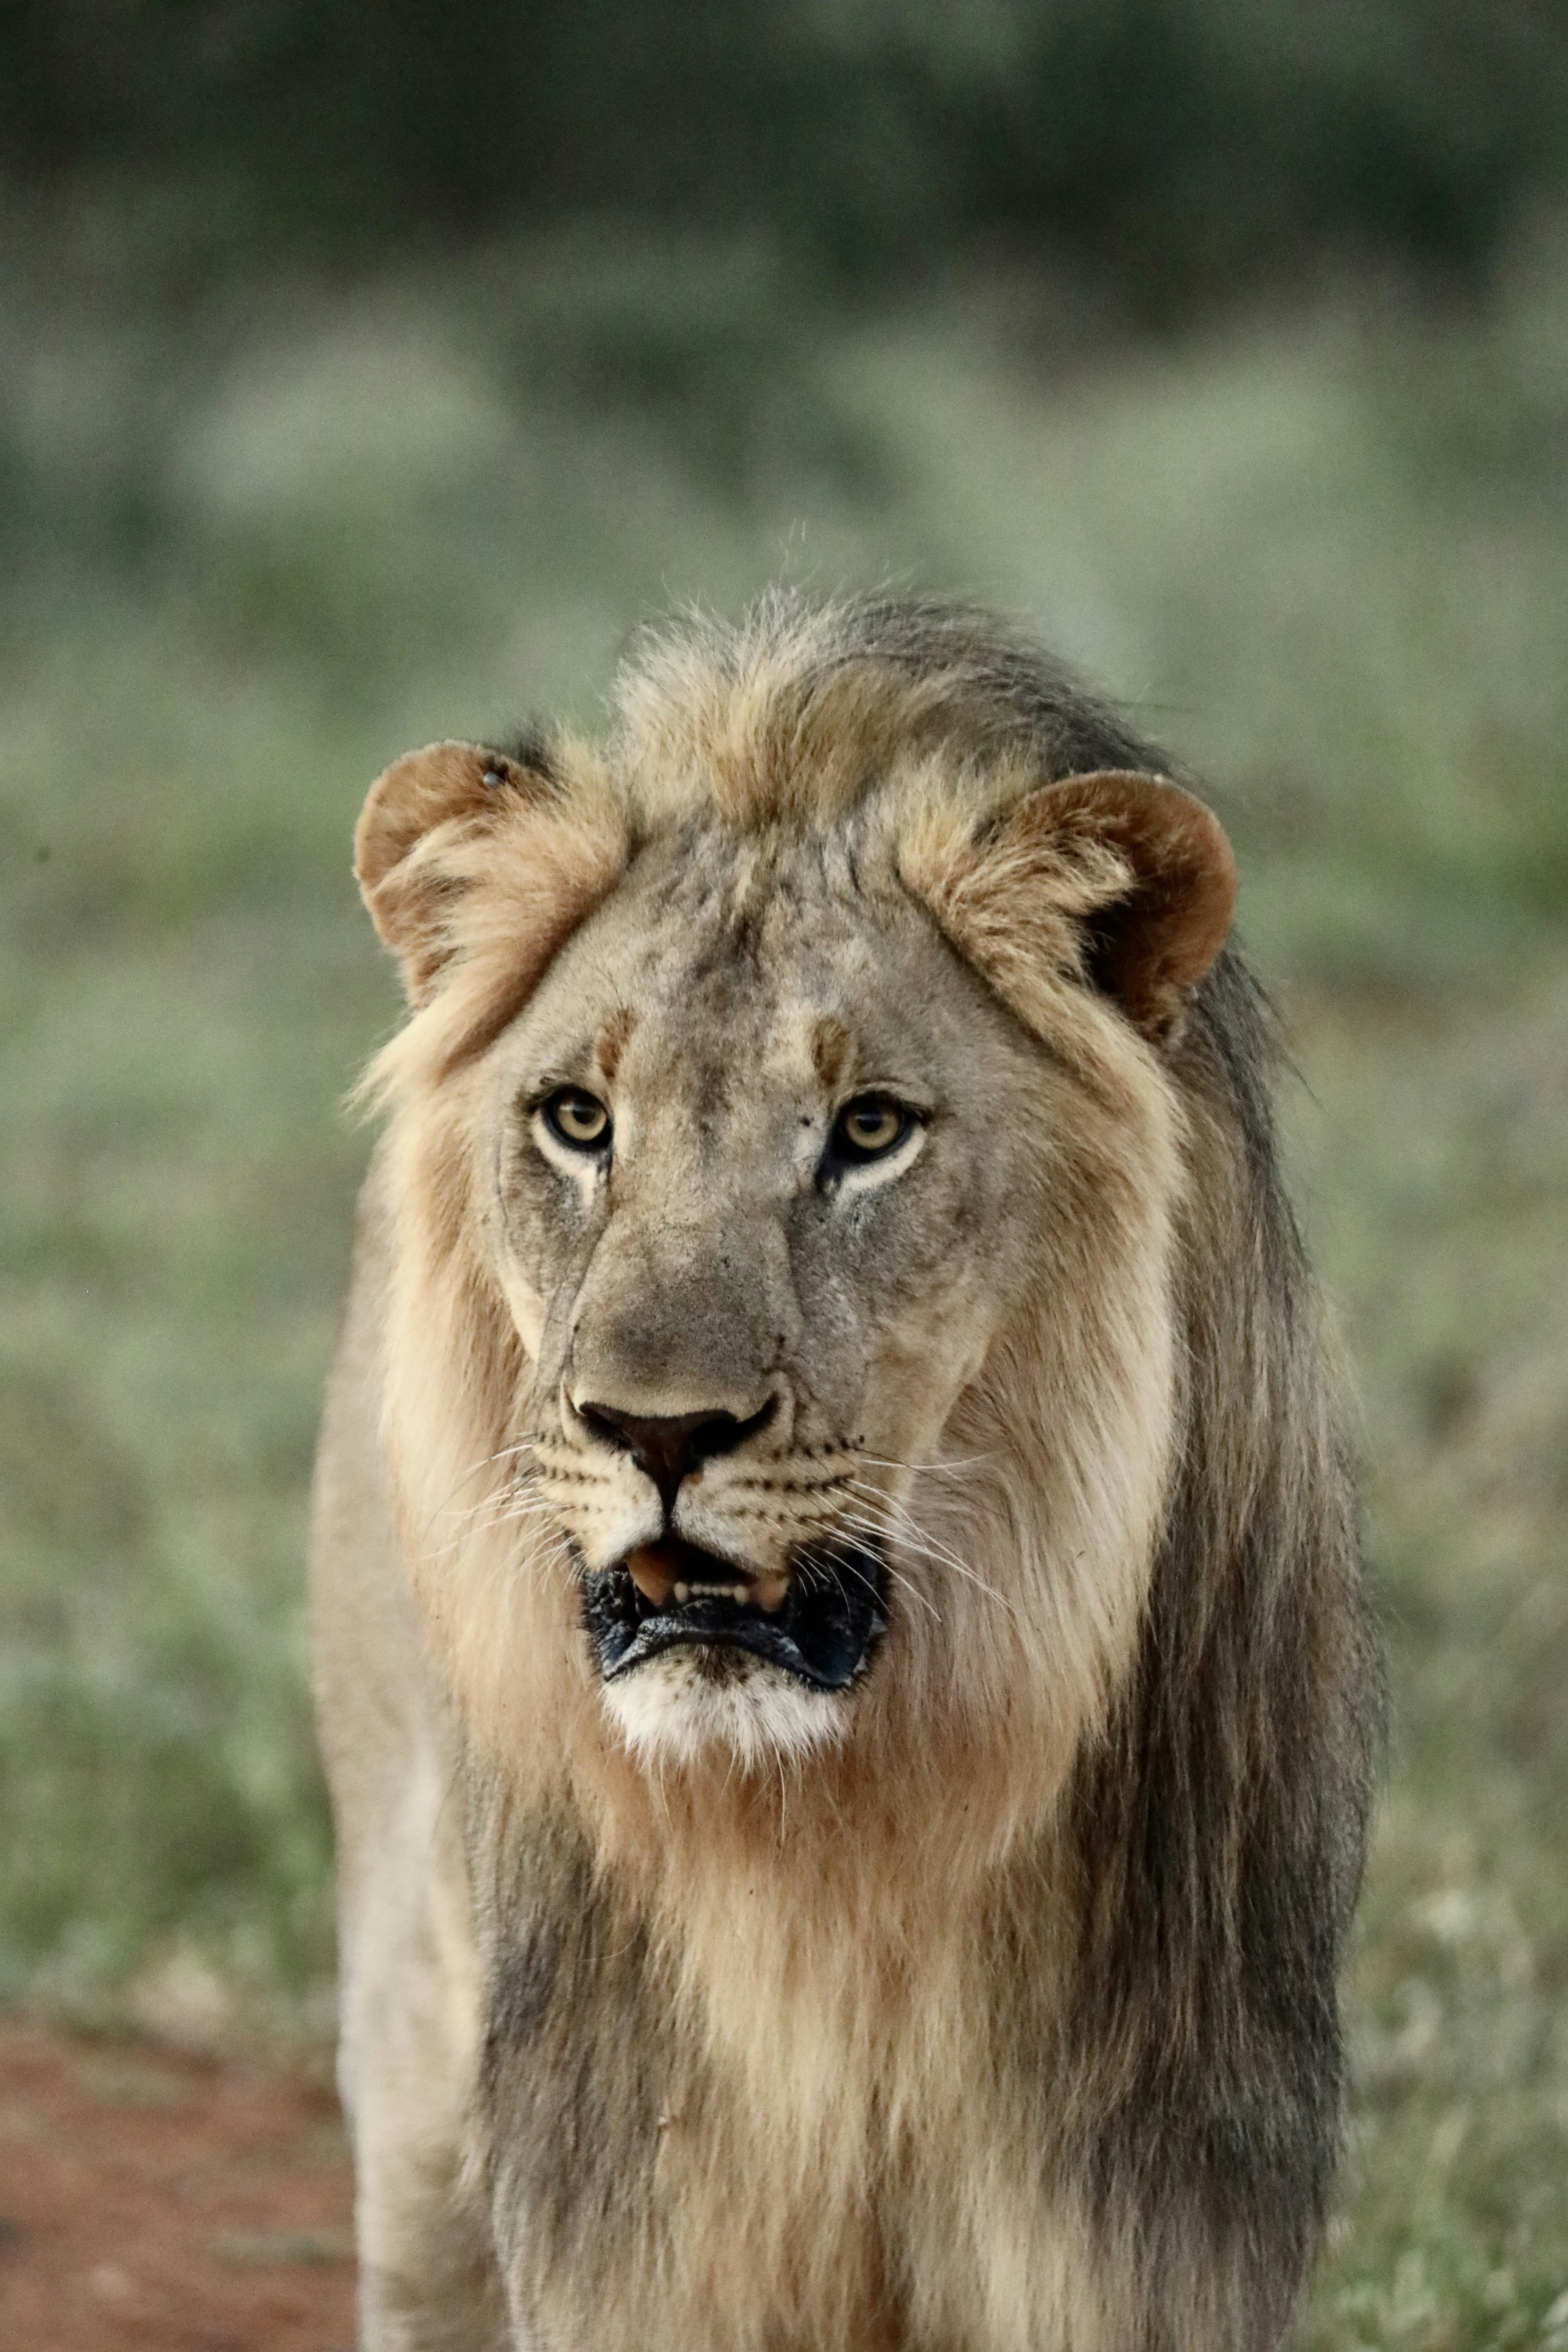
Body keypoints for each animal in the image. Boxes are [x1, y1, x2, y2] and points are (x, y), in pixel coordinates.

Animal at [310, 591, 1379, 2351]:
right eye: (578, 1120)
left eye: (871, 1130)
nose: (657, 1430)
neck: (836, 1855)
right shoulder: (633, 2234)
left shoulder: (1138, 2216)